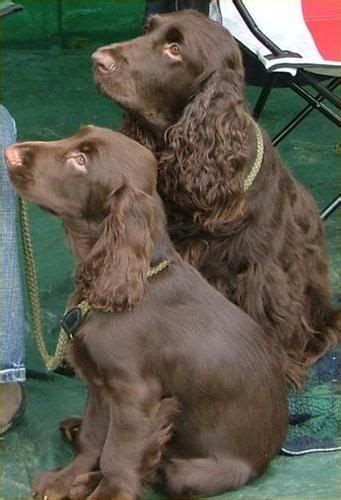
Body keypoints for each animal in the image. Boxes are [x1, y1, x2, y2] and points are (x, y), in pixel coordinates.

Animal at [5, 126, 286, 500]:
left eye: (80, 161)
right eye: (74, 137)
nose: (9, 153)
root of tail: (268, 457)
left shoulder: (134, 395)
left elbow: (117, 455)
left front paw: (105, 493)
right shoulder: (100, 385)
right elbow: (94, 439)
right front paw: (65, 479)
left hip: (192, 473)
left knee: (160, 468)